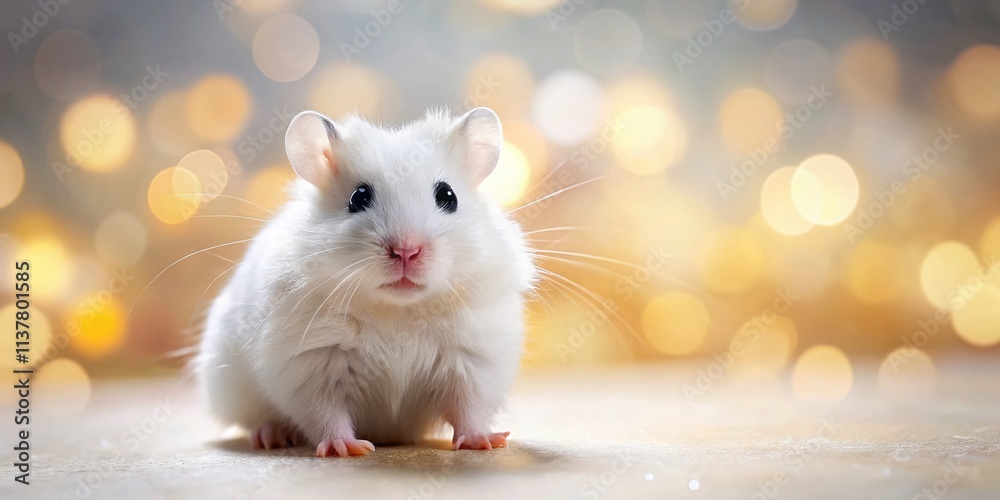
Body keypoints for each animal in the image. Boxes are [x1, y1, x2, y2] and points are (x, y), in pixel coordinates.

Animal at [195, 107, 535, 457]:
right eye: (358, 198)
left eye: (448, 195)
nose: (406, 250)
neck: (398, 311)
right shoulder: (310, 365)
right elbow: (325, 413)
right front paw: (346, 449)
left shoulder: (475, 361)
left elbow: (470, 407)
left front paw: (487, 442)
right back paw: (272, 437)